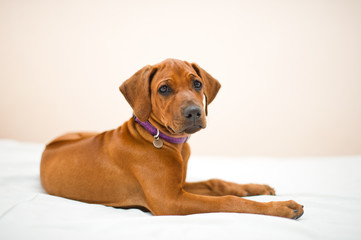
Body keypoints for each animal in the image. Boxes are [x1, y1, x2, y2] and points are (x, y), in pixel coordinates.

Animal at [40, 58, 304, 219]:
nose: (194, 112)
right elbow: (229, 201)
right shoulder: (170, 201)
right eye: (164, 89)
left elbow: (217, 183)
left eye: (197, 83)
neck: (160, 138)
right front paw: (281, 208)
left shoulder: (180, 186)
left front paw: (256, 188)